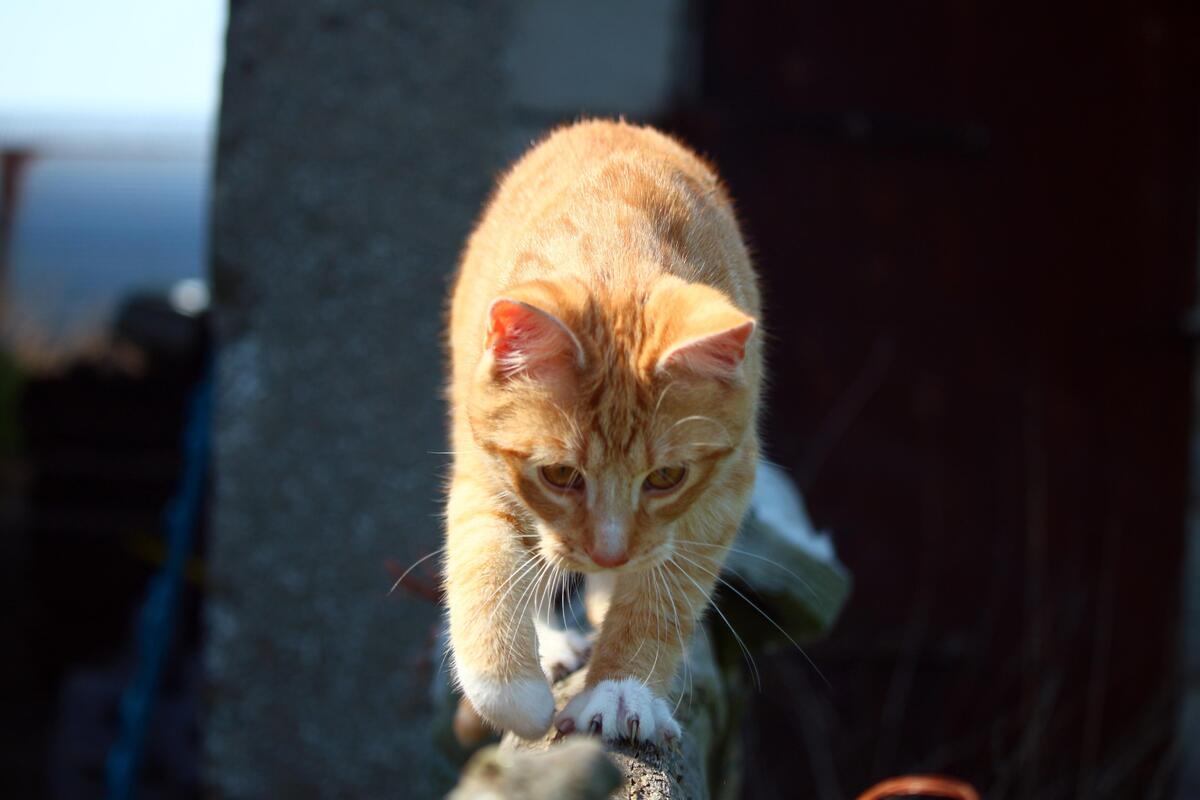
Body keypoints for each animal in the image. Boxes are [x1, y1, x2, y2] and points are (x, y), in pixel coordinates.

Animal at [441, 118, 758, 743]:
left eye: (666, 476)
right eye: (561, 474)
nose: (607, 555)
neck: (619, 257)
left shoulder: (722, 492)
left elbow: (662, 600)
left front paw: (620, 690)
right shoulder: (482, 471)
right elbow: (483, 565)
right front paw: (517, 696)